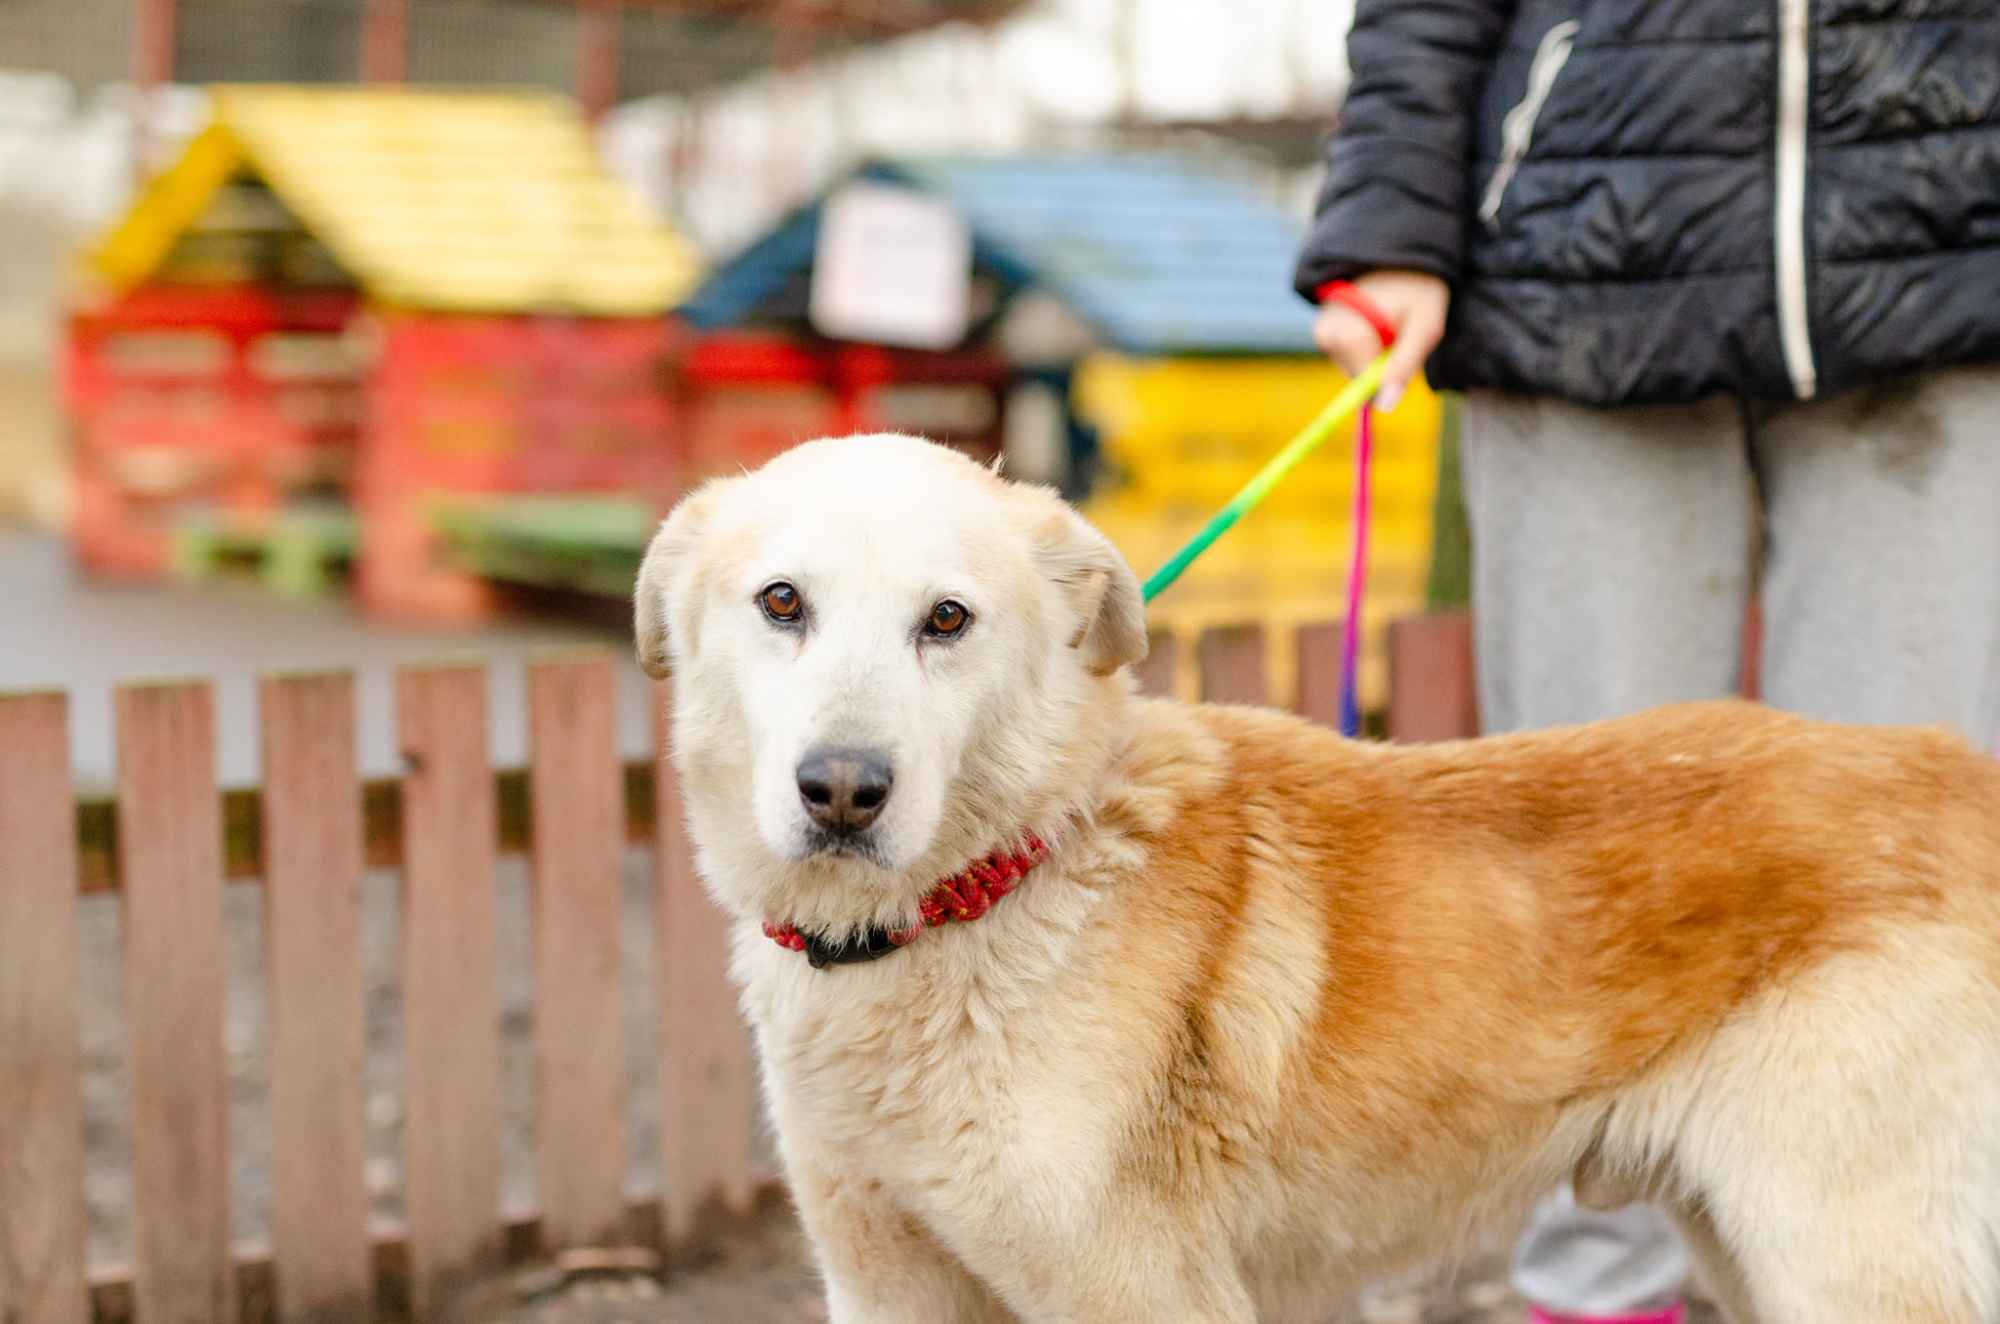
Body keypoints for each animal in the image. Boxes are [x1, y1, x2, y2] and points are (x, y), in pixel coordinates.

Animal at [632, 434, 2000, 1320]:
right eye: (781, 603)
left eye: (947, 620)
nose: (841, 790)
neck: (991, 893)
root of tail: (1955, 766)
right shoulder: (883, 1282)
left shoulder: (1142, 1296)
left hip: (1843, 1254)